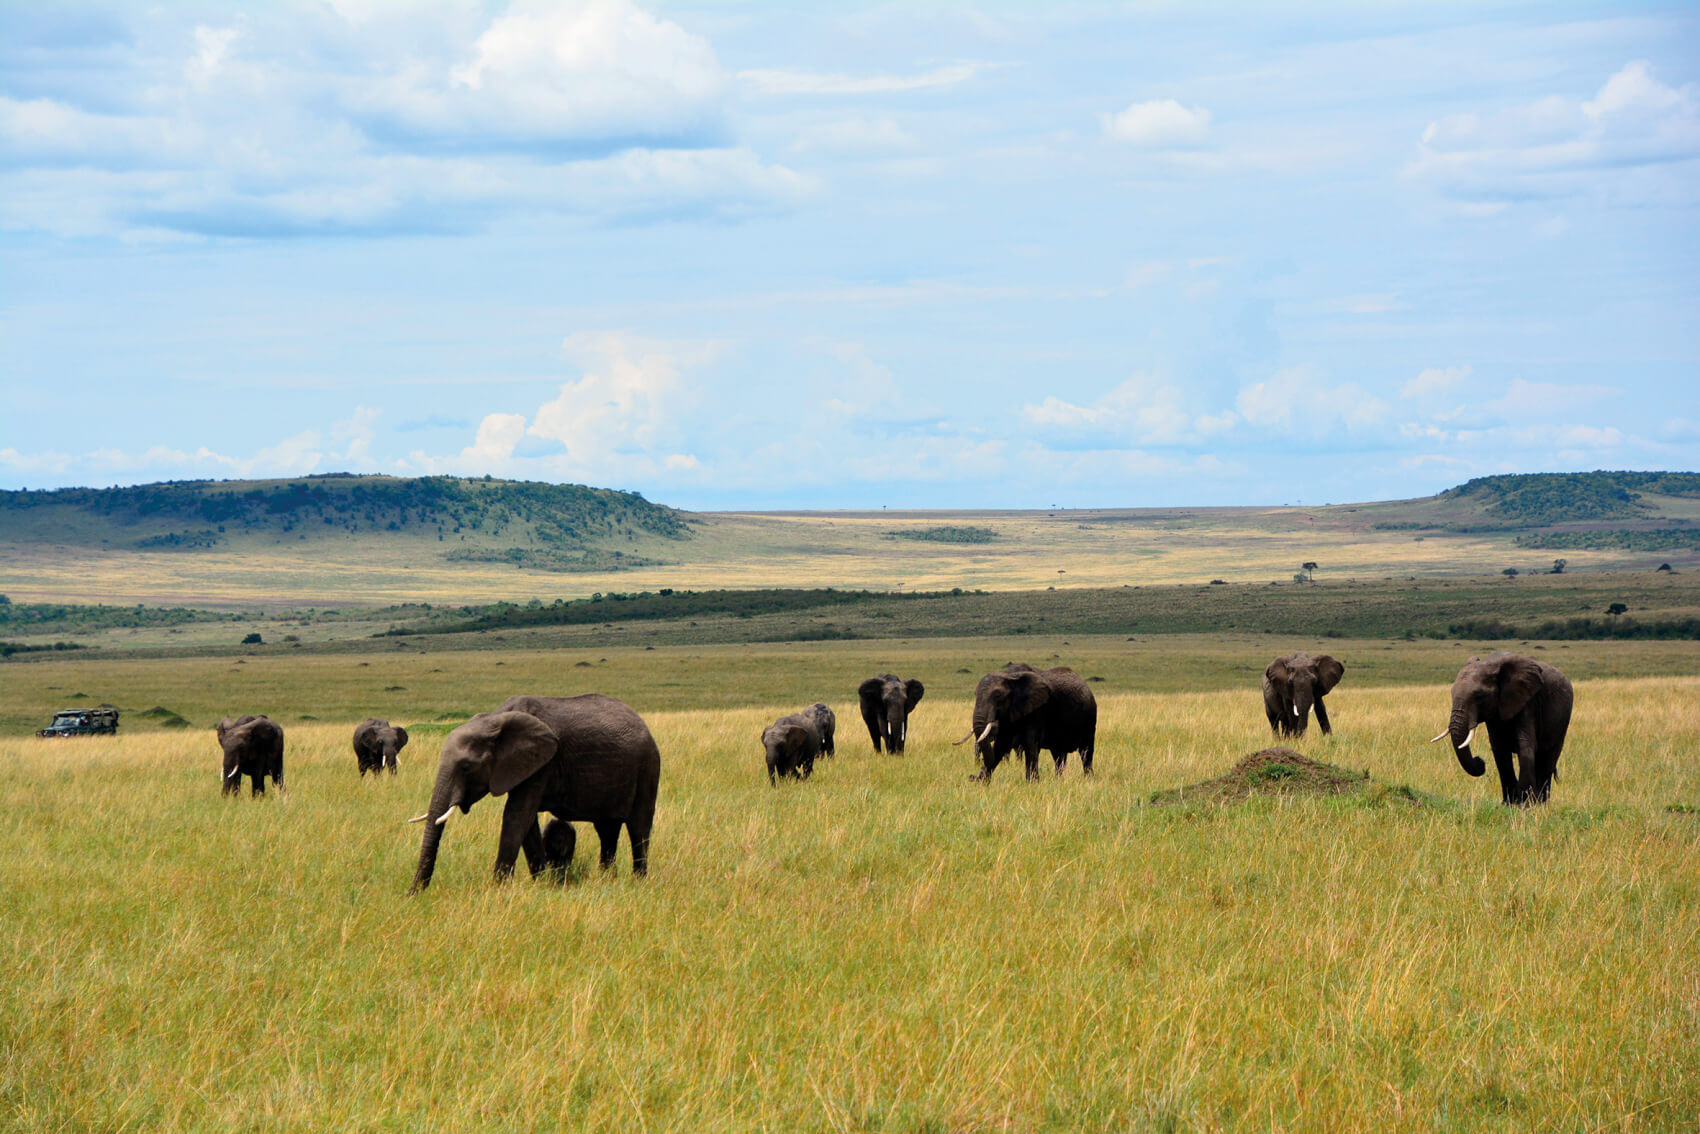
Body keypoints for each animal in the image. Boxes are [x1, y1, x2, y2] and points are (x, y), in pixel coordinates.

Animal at [408, 693, 659, 897]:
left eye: (466, 767)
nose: (411, 894)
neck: (495, 719)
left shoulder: (543, 763)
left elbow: (516, 814)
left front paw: (498, 888)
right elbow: (526, 821)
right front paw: (543, 883)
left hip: (648, 766)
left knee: (638, 828)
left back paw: (638, 882)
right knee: (607, 829)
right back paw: (608, 880)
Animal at [952, 666, 1094, 782]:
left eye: (998, 695)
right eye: (975, 694)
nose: (971, 777)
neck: (1010, 677)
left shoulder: (1038, 710)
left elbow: (1031, 744)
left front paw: (1032, 783)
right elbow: (1000, 745)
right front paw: (982, 782)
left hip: (1089, 719)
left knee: (1086, 752)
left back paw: (1088, 780)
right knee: (1059, 755)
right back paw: (1058, 780)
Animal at [1428, 646, 1570, 805]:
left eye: (1479, 696)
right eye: (1451, 693)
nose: (1480, 761)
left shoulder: (1527, 701)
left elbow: (1526, 745)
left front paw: (1526, 804)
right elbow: (1499, 750)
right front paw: (1510, 803)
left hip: (1563, 721)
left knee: (1548, 759)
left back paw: (1541, 802)